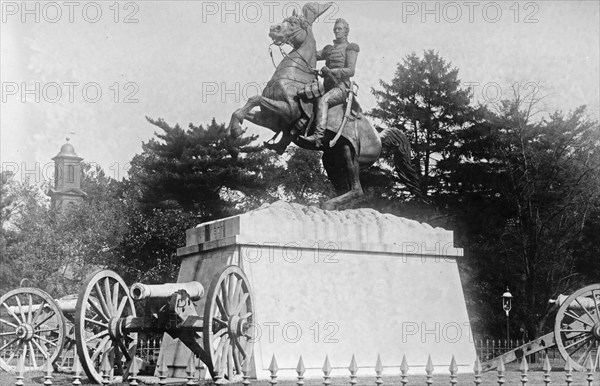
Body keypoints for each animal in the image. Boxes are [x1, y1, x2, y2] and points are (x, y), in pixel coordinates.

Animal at [227, 1, 420, 210]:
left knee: (357, 189)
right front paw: (233, 145)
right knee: (345, 188)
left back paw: (328, 204)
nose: (274, 29)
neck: (294, 75)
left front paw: (236, 134)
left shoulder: (286, 110)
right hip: (331, 159)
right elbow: (239, 111)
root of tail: (379, 137)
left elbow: (254, 98)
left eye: (294, 22)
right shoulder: (270, 119)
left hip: (349, 155)